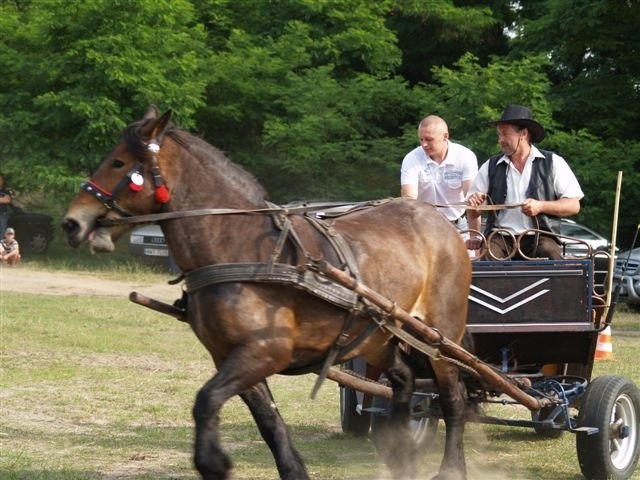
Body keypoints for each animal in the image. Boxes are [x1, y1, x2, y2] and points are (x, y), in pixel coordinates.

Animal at [61, 107, 470, 478]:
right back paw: (400, 454)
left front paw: (213, 463)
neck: (238, 248)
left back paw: (450, 467)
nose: (71, 223)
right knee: (404, 381)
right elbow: (268, 422)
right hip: (375, 337)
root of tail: (441, 223)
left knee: (452, 398)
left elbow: (206, 400)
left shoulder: (266, 350)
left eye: (119, 163)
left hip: (440, 335)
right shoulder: (231, 355)